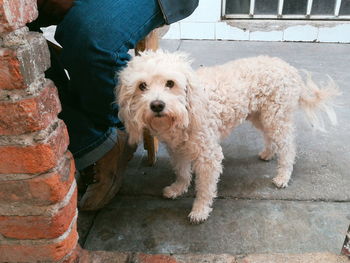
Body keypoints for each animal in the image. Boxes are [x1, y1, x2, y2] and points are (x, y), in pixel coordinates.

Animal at [117, 50, 340, 224]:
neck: (187, 110)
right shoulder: (177, 149)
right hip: (261, 116)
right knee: (270, 137)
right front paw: (178, 188)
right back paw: (268, 153)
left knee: (288, 147)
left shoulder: (209, 156)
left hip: (276, 117)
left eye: (170, 83)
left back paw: (283, 176)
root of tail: (290, 69)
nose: (157, 105)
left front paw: (200, 210)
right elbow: (181, 172)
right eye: (142, 86)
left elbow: (205, 188)